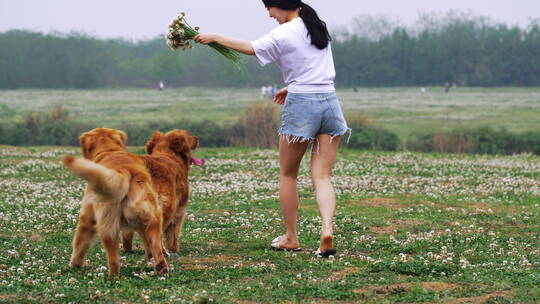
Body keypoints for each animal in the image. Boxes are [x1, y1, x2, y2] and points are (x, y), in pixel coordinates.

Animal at [62, 127, 167, 276]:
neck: (109, 150)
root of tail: (124, 171)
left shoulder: (88, 216)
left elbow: (80, 243)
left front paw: (74, 264)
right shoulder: (141, 224)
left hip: (107, 226)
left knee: (113, 259)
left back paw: (112, 276)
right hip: (152, 216)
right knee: (156, 244)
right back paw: (160, 267)